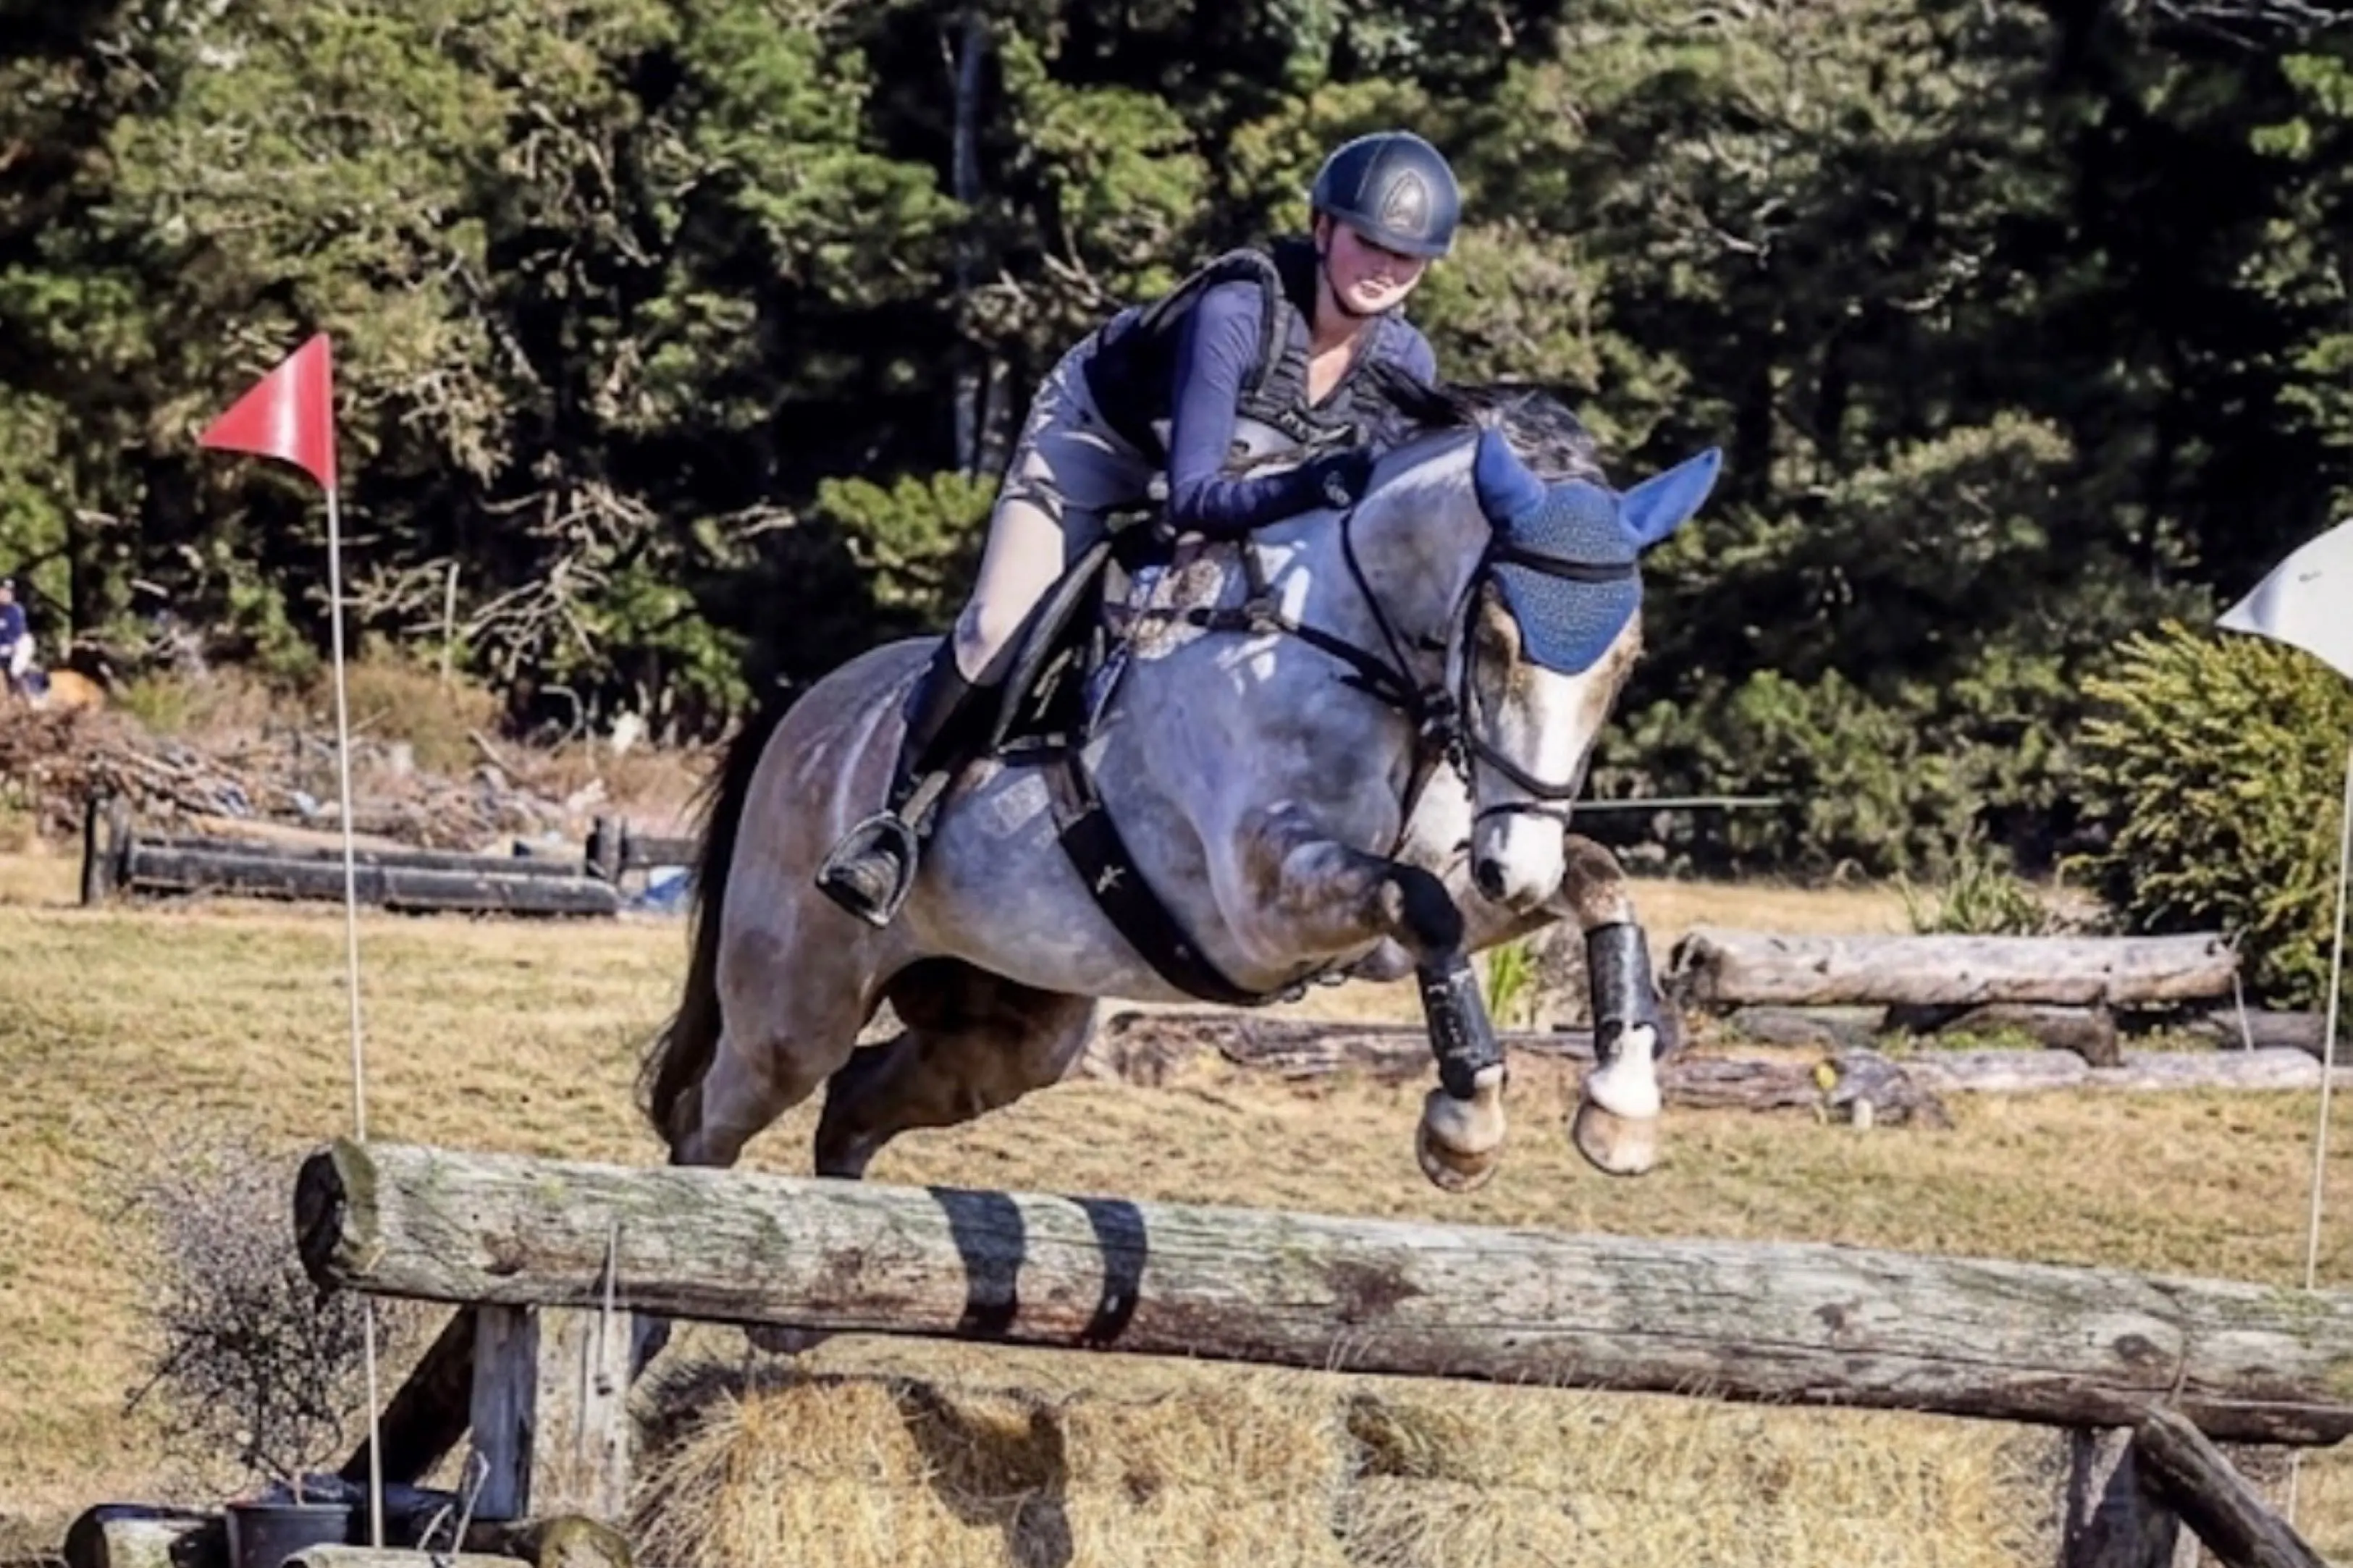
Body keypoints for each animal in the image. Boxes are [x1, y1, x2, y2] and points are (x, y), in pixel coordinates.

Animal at [639, 376, 1719, 1195]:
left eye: (1627, 660)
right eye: (1492, 641)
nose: (1513, 869)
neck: (1358, 651)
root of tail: (797, 714)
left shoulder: (1397, 913)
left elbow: (1592, 880)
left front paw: (1621, 1109)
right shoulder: (1262, 911)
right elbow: (1424, 905)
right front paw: (1465, 1127)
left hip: (1011, 1025)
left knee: (856, 1106)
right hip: (796, 1009)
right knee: (710, 1124)